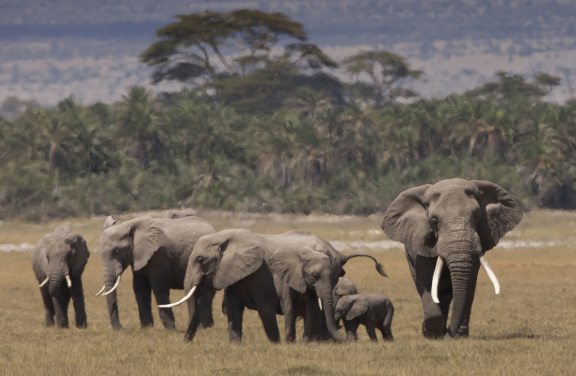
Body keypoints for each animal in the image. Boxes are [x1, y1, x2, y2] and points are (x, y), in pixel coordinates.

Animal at [380, 178, 524, 338]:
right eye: (434, 221)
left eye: (477, 216)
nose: (450, 334)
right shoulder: (421, 242)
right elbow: (426, 279)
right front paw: (431, 334)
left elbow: (469, 283)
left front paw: (456, 336)